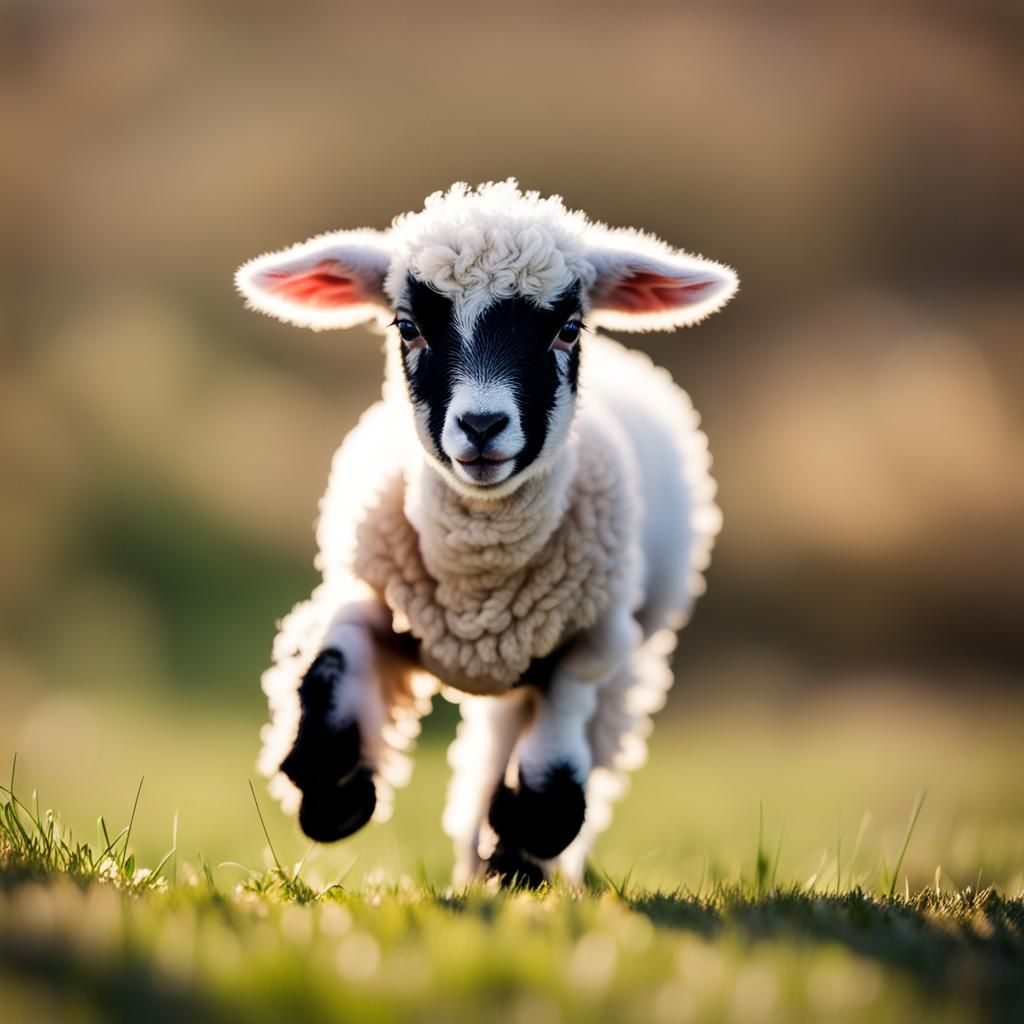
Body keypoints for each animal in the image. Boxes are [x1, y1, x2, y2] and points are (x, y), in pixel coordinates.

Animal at [235, 180, 736, 886]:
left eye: (568, 329)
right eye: (408, 326)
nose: (481, 426)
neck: (480, 589)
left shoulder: (600, 641)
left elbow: (555, 778)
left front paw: (521, 840)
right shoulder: (369, 594)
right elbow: (330, 658)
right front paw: (334, 791)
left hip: (641, 645)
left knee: (556, 745)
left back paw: (502, 862)